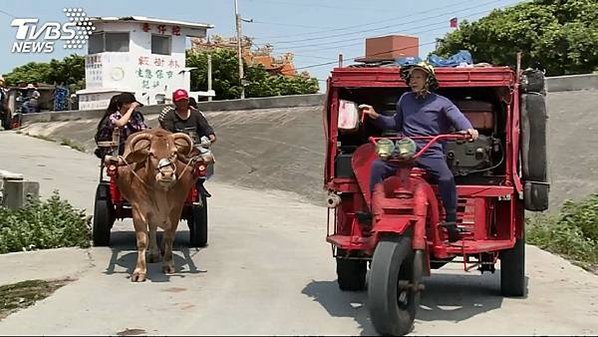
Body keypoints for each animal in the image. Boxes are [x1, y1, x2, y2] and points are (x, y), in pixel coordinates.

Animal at [108, 127, 209, 280]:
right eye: (151, 153)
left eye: (174, 153)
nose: (166, 174)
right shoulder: (139, 208)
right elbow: (142, 240)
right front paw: (139, 271)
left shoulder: (176, 208)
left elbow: (169, 238)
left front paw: (168, 265)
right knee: (153, 228)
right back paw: (153, 253)